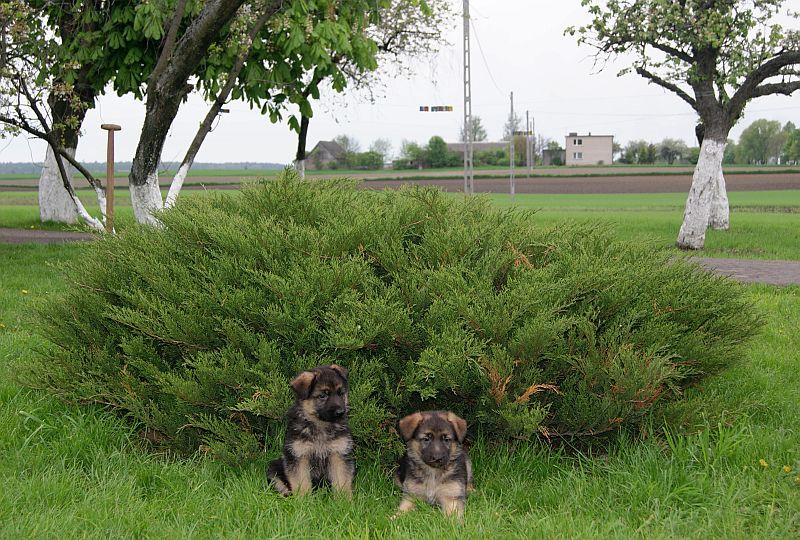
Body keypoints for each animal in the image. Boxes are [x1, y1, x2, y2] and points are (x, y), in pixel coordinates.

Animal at [266, 364, 354, 496]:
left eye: (340, 393)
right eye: (322, 396)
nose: (341, 412)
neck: (321, 425)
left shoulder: (339, 454)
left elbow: (342, 480)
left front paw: (344, 499)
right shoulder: (299, 456)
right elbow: (301, 482)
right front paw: (304, 499)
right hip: (274, 467)